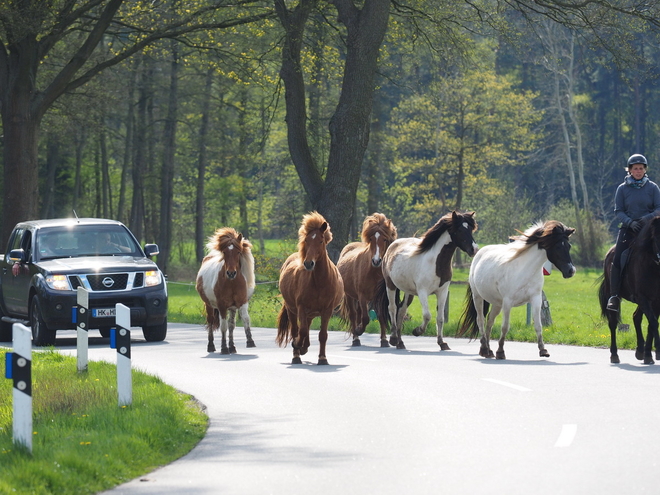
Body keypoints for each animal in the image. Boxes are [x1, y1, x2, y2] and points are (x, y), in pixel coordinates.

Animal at [274, 211, 346, 366]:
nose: (308, 263)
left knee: (306, 327)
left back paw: (303, 348)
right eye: (306, 240)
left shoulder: (327, 310)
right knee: (297, 330)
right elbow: (301, 331)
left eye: (320, 241)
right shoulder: (301, 307)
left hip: (311, 313)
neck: (319, 282)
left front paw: (322, 358)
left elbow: (322, 335)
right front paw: (298, 346)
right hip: (292, 310)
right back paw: (297, 355)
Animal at [336, 211, 398, 346]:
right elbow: (365, 318)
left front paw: (384, 340)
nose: (376, 261)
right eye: (371, 239)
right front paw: (358, 330)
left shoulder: (379, 297)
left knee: (359, 313)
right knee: (354, 315)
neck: (372, 271)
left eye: (384, 239)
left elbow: (380, 316)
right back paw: (356, 338)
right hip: (350, 296)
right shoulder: (362, 295)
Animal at [374, 211, 476, 350]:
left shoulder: (442, 292)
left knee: (401, 310)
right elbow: (427, 315)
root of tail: (392, 246)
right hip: (390, 285)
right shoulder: (423, 292)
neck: (435, 263)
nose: (474, 249)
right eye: (459, 230)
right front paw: (417, 331)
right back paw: (394, 339)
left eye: (470, 229)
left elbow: (440, 318)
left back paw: (400, 343)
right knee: (393, 308)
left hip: (408, 291)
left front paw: (442, 342)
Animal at [456, 221, 576, 360]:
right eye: (557, 246)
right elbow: (505, 327)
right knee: (480, 320)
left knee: (490, 321)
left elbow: (538, 325)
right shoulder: (508, 302)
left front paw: (543, 350)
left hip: (497, 303)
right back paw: (485, 349)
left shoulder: (536, 299)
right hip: (478, 297)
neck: (526, 270)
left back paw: (488, 351)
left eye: (569, 246)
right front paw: (500, 352)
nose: (571, 271)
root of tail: (479, 253)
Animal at [600, 216, 660, 364]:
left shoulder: (655, 301)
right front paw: (657, 350)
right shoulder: (643, 298)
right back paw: (614, 355)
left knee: (636, 317)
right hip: (614, 296)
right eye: (656, 238)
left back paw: (640, 351)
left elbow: (651, 324)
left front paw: (648, 355)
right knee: (613, 322)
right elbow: (653, 322)